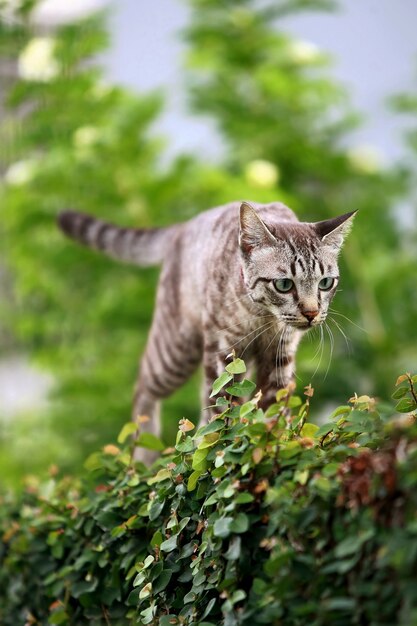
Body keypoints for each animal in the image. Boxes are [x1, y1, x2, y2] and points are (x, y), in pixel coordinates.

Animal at [57, 200, 354, 458]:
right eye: (284, 285)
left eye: (325, 283)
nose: (311, 313)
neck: (264, 319)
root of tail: (183, 227)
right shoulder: (222, 351)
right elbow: (220, 410)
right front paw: (217, 450)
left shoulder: (280, 356)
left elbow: (274, 410)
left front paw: (273, 444)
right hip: (176, 351)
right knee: (142, 387)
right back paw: (144, 456)